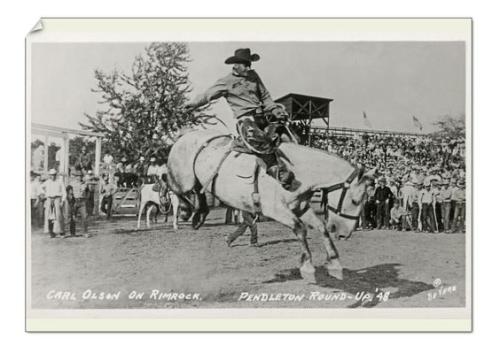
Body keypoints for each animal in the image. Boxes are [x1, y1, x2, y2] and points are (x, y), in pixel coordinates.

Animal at [166, 129, 374, 280]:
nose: (344, 234)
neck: (296, 172)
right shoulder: (276, 210)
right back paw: (187, 211)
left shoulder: (300, 207)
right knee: (175, 187)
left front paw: (335, 264)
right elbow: (300, 228)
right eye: (355, 201)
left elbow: (321, 227)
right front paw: (307, 267)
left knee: (198, 191)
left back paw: (200, 214)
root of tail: (184, 136)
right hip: (183, 179)